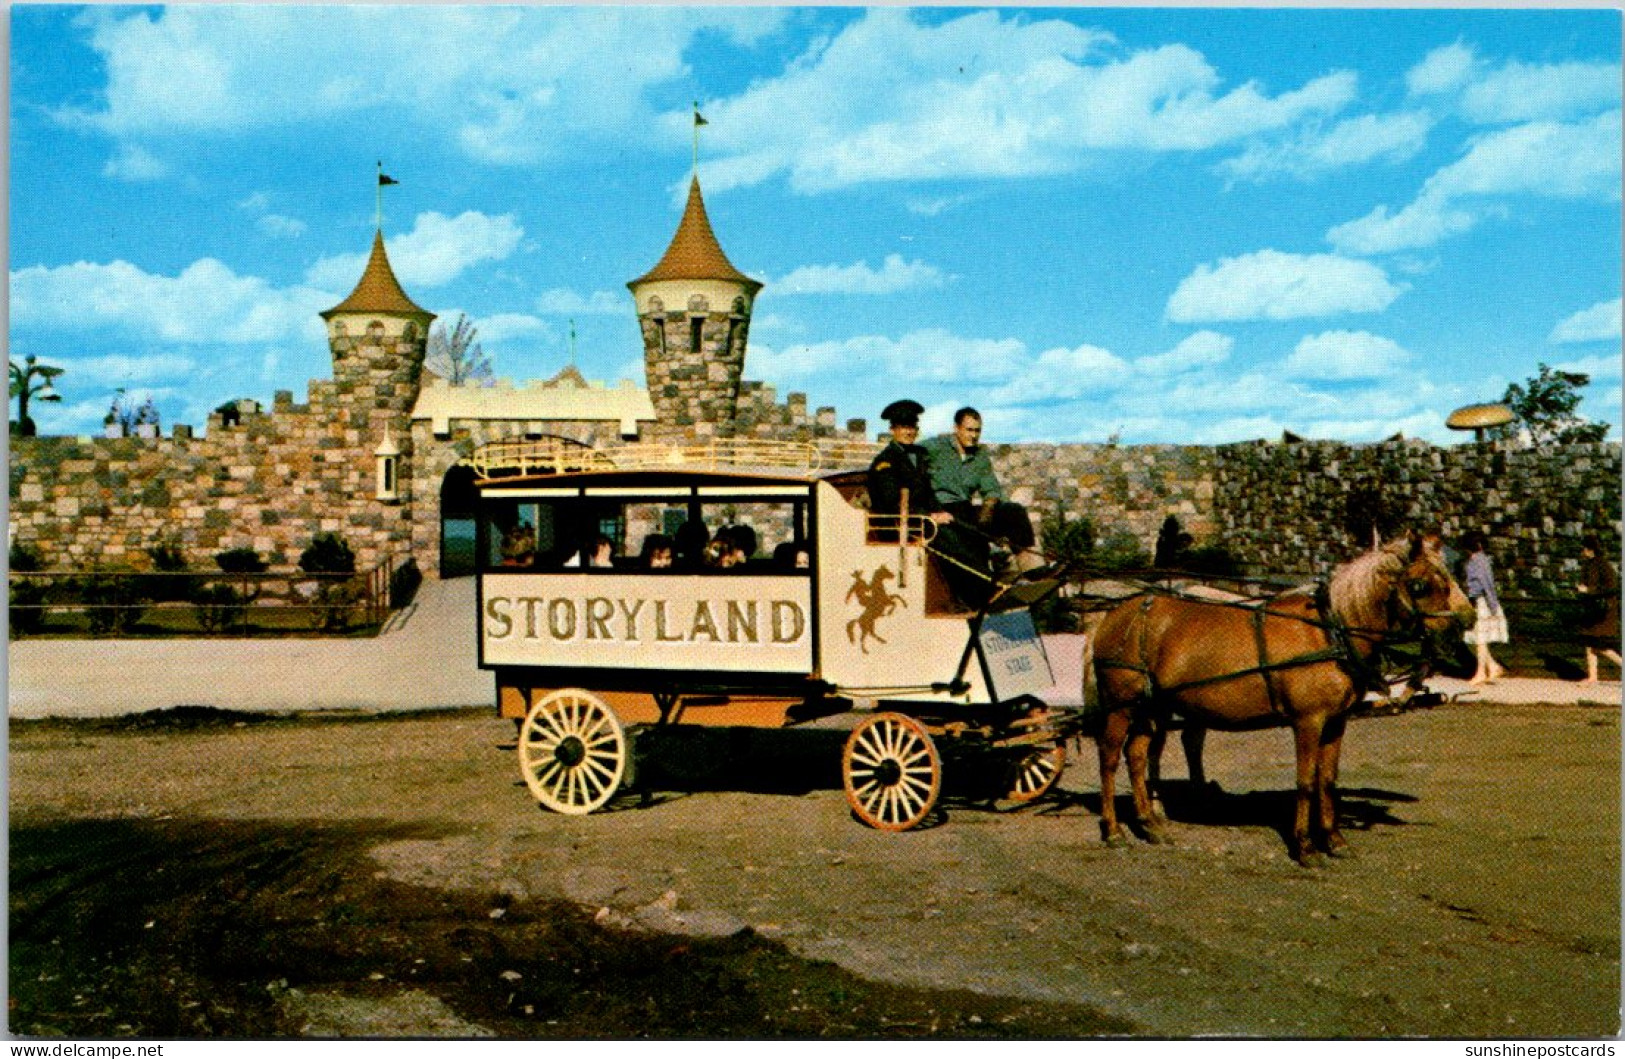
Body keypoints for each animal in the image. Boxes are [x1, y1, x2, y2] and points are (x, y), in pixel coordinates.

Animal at [1092, 532, 1475, 864]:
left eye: (1447, 580)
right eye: (1420, 586)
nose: (1464, 636)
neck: (1330, 631)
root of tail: (1116, 615)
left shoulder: (1335, 722)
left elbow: (1327, 780)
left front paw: (1334, 840)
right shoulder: (1308, 721)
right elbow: (1305, 782)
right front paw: (1305, 846)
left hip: (1152, 707)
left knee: (1137, 756)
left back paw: (1149, 824)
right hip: (1121, 707)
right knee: (1109, 760)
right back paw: (1113, 830)